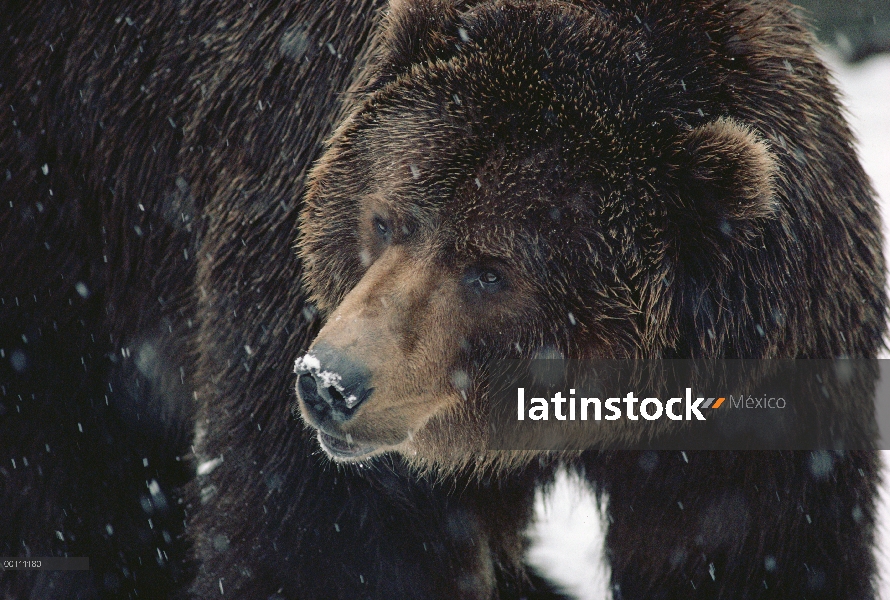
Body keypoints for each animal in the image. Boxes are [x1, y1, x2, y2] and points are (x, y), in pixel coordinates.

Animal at [1, 1, 880, 600]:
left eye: (492, 269)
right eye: (388, 218)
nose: (331, 383)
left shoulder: (771, 372)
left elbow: (754, 542)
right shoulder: (280, 258)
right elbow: (329, 542)